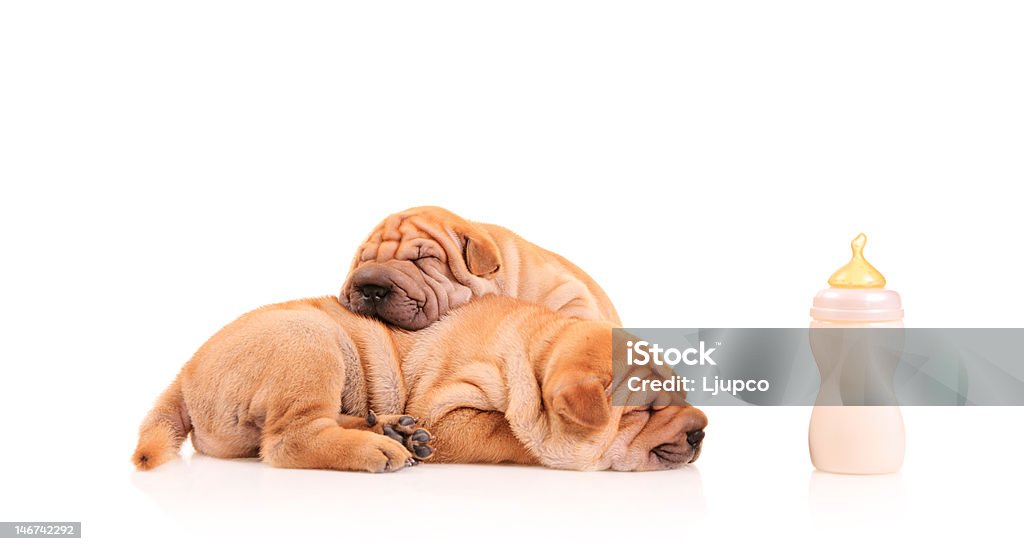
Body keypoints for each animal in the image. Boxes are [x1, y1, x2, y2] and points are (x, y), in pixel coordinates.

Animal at [132, 292, 708, 469]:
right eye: (648, 408)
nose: (701, 429)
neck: (535, 353)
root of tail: (182, 374)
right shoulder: (448, 409)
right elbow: (506, 433)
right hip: (310, 341)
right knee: (286, 441)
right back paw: (379, 448)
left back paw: (388, 428)